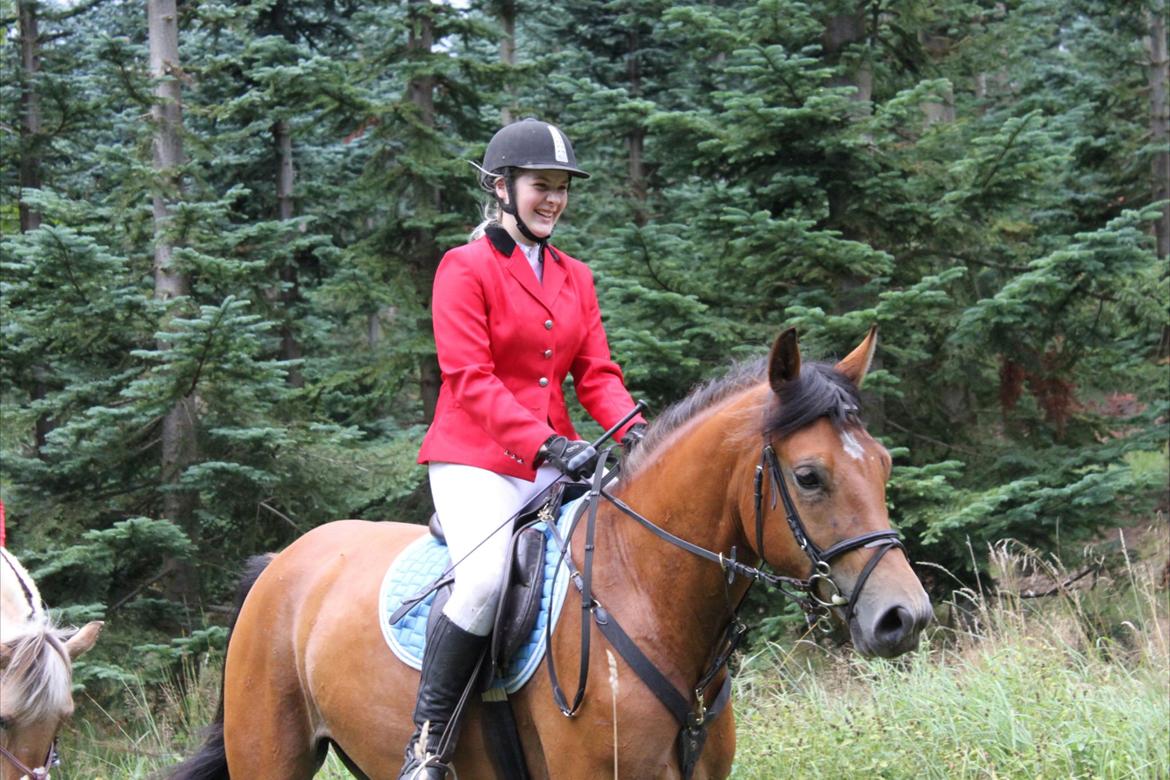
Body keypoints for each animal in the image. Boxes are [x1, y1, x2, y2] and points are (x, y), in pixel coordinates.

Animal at [170, 327, 931, 776]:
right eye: (809, 476)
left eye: (886, 464)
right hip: (271, 756)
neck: (645, 590)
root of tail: (281, 565)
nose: (905, 618)